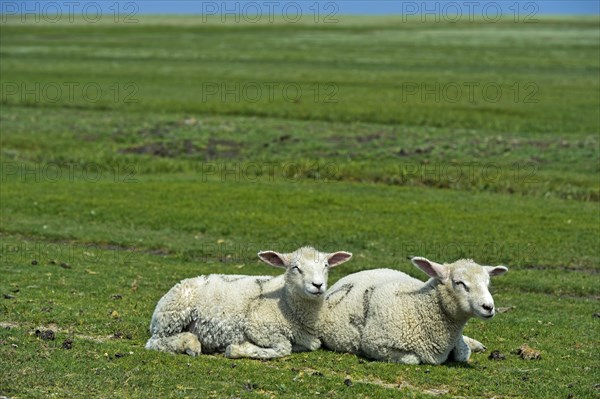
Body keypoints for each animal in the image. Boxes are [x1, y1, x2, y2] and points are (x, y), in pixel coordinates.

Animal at [145, 247, 352, 360]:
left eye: (326, 266)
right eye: (295, 267)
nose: (318, 285)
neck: (286, 302)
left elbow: (312, 344)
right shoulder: (257, 326)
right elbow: (283, 348)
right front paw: (236, 349)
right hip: (173, 315)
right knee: (155, 342)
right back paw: (191, 344)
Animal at [318, 256, 506, 366]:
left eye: (487, 282)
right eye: (459, 282)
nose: (488, 307)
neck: (418, 307)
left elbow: (462, 352)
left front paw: (470, 346)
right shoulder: (376, 344)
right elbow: (413, 359)